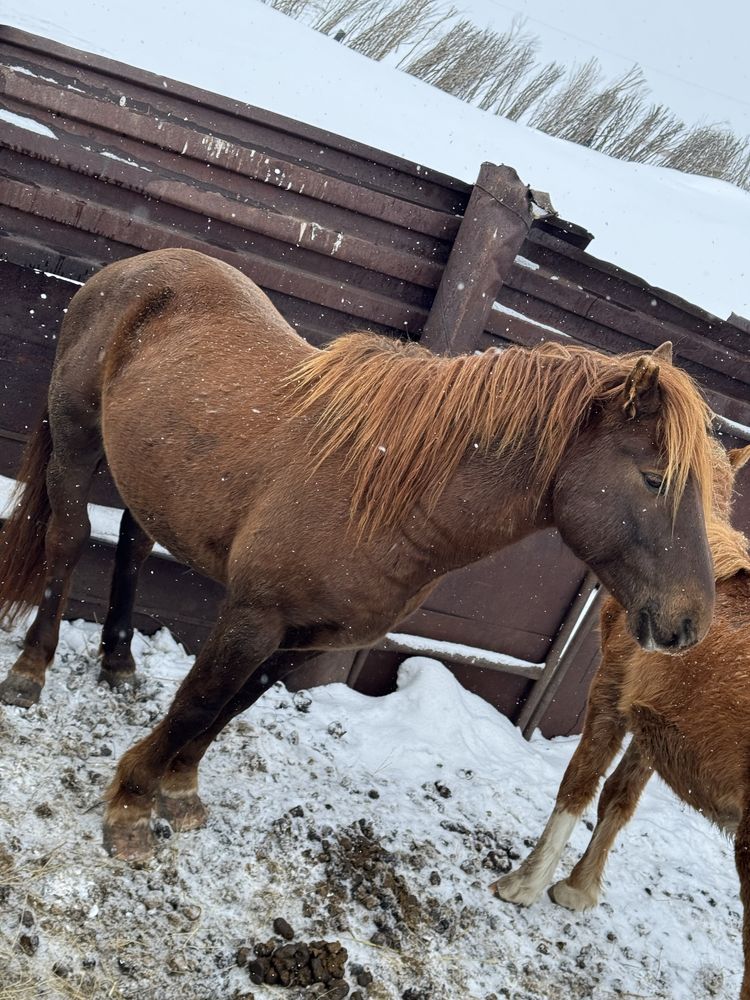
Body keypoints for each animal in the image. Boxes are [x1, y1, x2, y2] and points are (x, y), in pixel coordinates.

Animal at [0, 248, 716, 860]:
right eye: (655, 479)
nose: (688, 625)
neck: (387, 496)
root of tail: (131, 268)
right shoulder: (254, 617)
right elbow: (198, 704)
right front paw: (129, 809)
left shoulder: (307, 637)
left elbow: (228, 711)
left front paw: (180, 791)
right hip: (76, 444)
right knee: (67, 542)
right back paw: (30, 673)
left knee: (132, 543)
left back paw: (119, 663)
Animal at [494, 448, 750, 1000]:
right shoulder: (654, 730)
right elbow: (618, 798)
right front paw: (578, 888)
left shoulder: (609, 694)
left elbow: (579, 783)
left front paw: (525, 884)